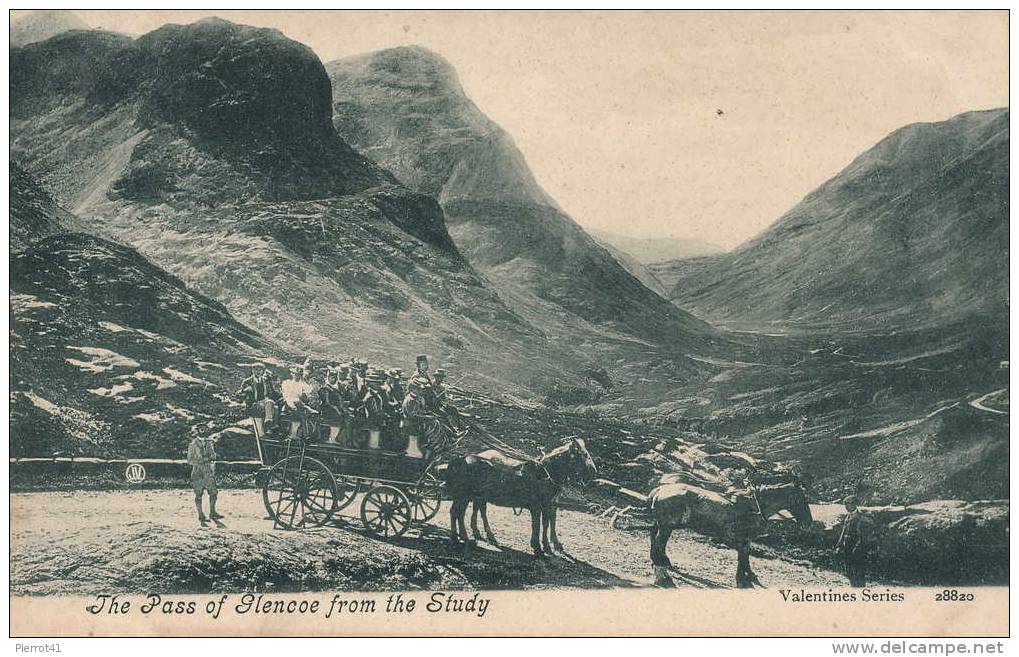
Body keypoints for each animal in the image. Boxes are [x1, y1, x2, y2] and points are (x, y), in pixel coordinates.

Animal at [444, 438, 595, 554]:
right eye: (582, 454)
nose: (593, 471)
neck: (545, 474)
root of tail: (459, 460)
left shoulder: (549, 505)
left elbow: (547, 524)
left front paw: (548, 545)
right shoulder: (537, 506)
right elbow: (537, 525)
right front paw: (538, 546)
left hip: (471, 496)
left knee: (463, 512)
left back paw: (465, 537)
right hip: (464, 496)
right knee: (458, 513)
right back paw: (463, 538)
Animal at [652, 476, 811, 590]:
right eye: (801, 500)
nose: (808, 523)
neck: (754, 505)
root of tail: (660, 490)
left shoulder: (745, 540)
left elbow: (745, 558)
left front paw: (748, 577)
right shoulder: (744, 538)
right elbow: (742, 558)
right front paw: (743, 580)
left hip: (666, 526)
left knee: (655, 541)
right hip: (666, 526)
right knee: (658, 544)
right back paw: (663, 576)